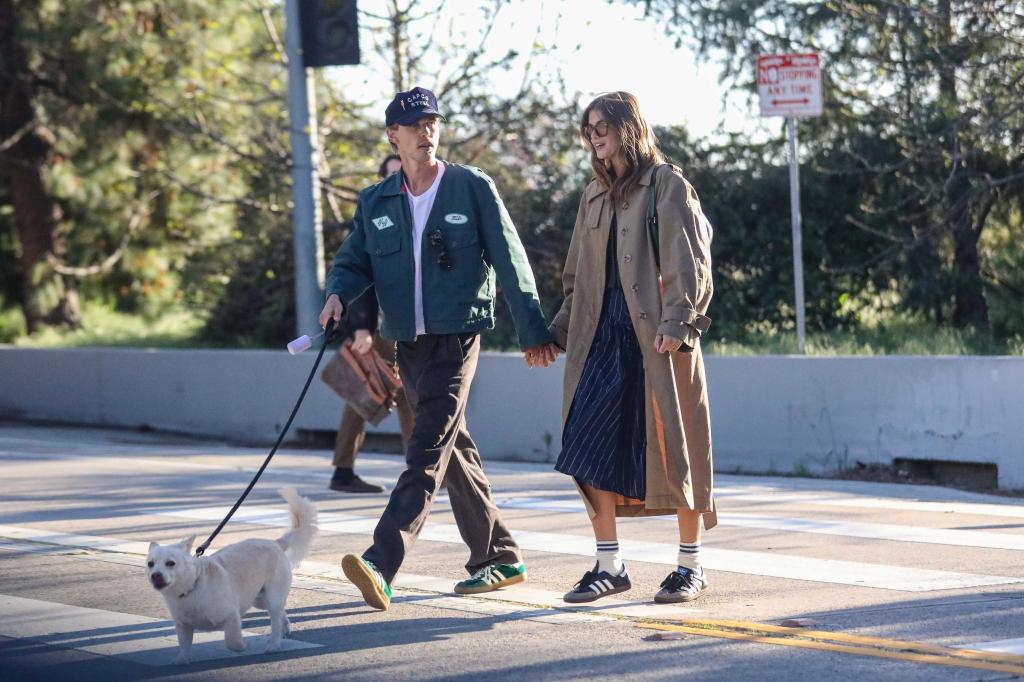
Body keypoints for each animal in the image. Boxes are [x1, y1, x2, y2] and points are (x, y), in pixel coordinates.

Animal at [145, 485, 315, 659]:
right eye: (150, 564)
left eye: (170, 563)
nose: (155, 575)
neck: (191, 587)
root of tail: (275, 543)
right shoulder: (183, 626)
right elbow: (184, 646)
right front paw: (181, 660)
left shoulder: (232, 616)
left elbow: (231, 642)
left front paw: (242, 647)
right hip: (259, 598)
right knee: (281, 611)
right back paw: (285, 627)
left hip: (272, 597)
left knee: (275, 620)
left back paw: (274, 644)